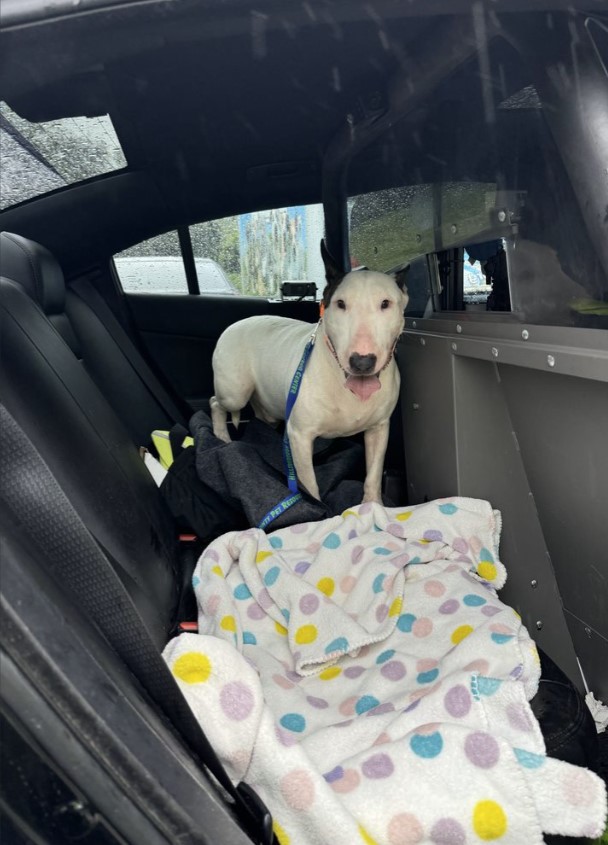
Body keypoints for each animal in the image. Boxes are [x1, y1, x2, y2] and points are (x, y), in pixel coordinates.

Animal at [211, 241, 410, 502]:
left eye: (385, 304)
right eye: (340, 303)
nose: (362, 362)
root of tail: (236, 324)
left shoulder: (379, 429)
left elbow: (373, 476)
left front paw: (373, 506)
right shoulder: (299, 436)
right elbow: (310, 485)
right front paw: (318, 509)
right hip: (235, 392)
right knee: (216, 403)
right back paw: (221, 437)